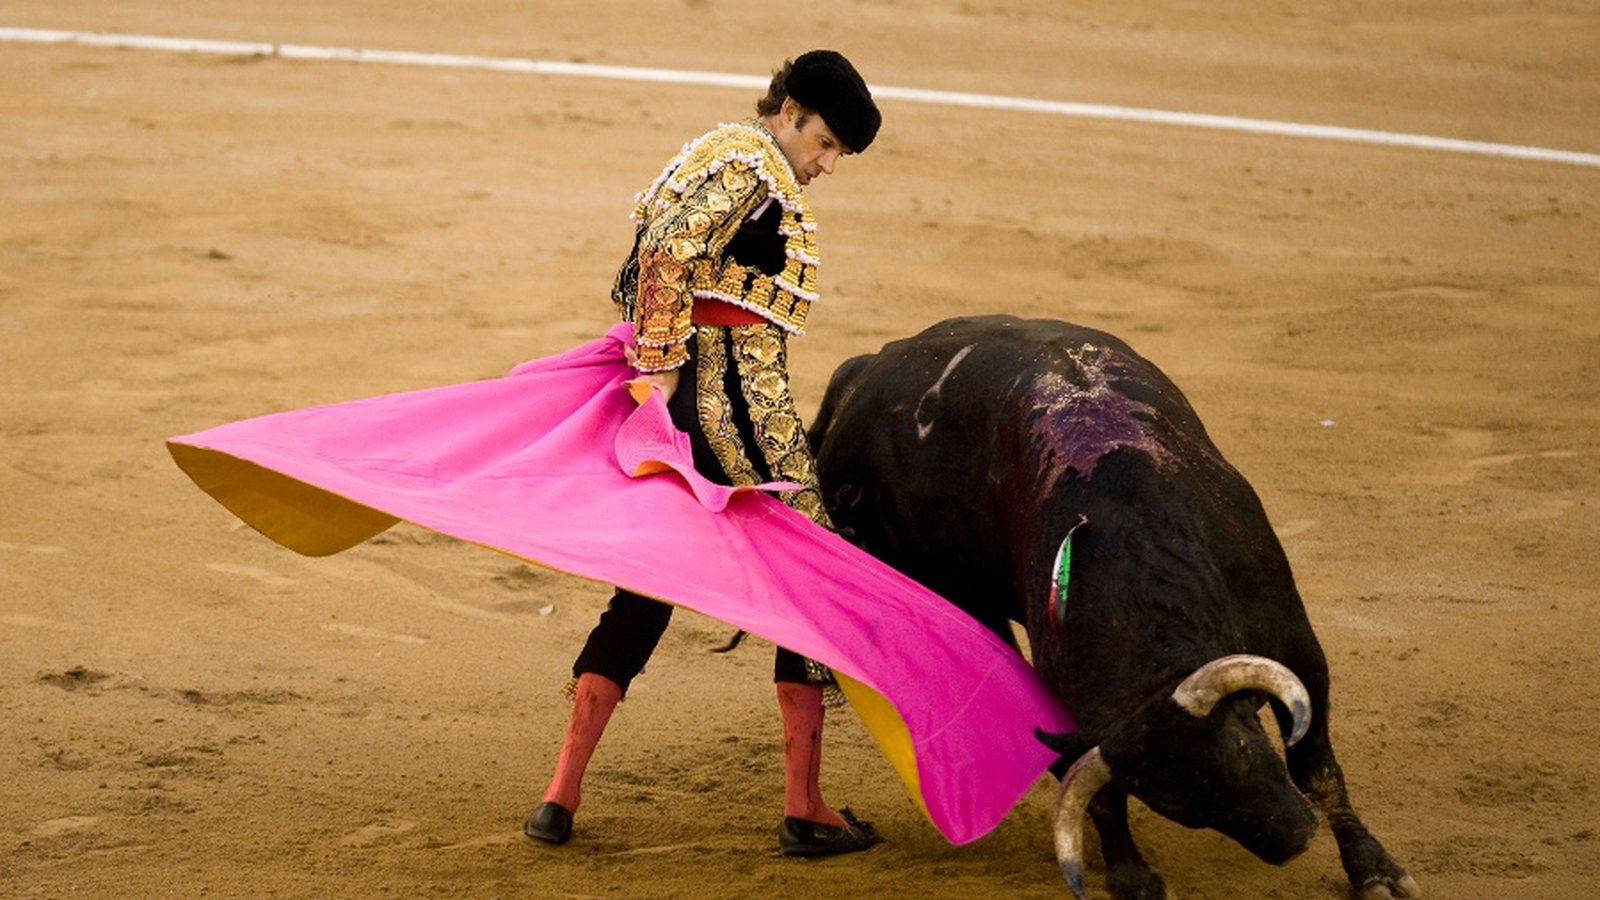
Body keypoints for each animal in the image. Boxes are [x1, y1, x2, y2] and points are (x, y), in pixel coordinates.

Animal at [806, 312, 1420, 890]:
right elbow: (1093, 783)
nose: (1294, 840)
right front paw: (1130, 875)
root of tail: (866, 370)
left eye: (1245, 748)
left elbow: (1317, 765)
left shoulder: (1292, 640)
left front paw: (1375, 871)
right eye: (1179, 806)